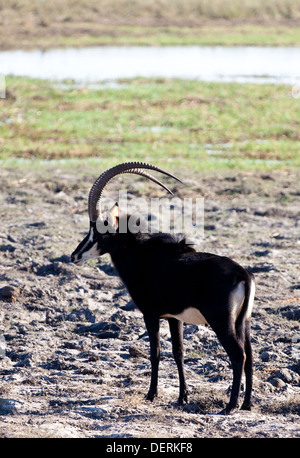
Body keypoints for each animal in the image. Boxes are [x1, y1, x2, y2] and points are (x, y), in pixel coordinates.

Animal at [71, 162, 255, 416]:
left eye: (98, 231)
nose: (74, 256)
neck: (144, 256)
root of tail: (243, 274)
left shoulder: (150, 314)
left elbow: (155, 352)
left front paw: (151, 394)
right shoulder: (173, 317)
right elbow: (179, 352)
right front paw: (182, 397)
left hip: (221, 322)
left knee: (238, 355)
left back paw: (230, 406)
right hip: (242, 322)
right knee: (250, 356)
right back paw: (247, 404)